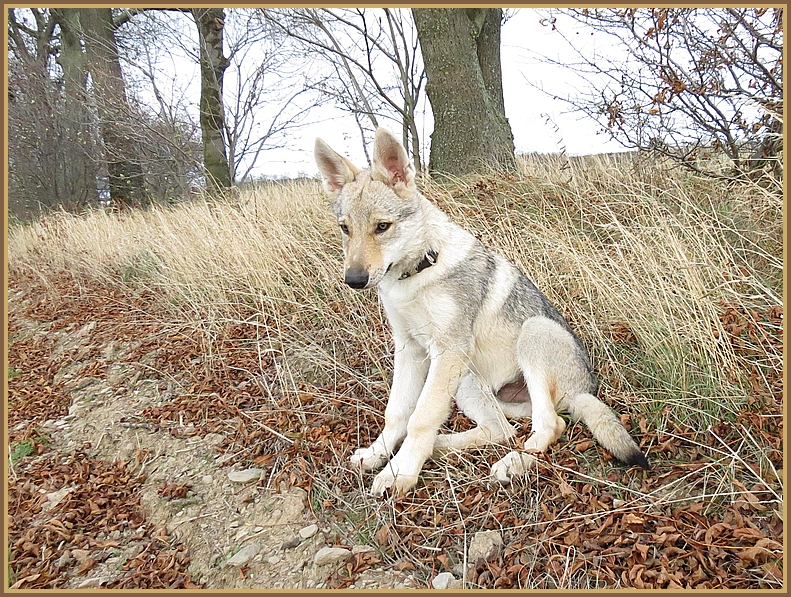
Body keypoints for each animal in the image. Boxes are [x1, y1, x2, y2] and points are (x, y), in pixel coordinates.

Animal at [316, 128, 648, 496]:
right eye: (345, 229)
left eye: (382, 227)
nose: (353, 280)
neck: (418, 272)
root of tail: (586, 389)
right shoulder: (410, 349)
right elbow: (398, 413)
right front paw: (378, 454)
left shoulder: (447, 351)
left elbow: (421, 416)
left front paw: (400, 471)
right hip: (468, 386)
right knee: (503, 429)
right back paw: (440, 447)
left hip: (531, 333)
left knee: (550, 425)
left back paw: (513, 464)